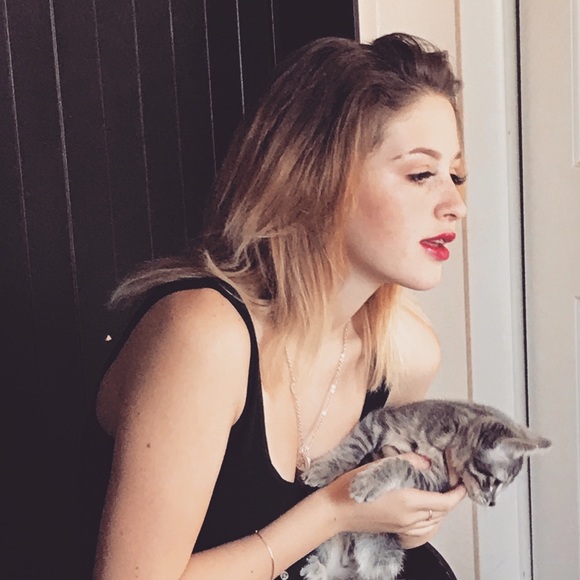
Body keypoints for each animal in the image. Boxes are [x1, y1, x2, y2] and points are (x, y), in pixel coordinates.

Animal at [300, 399, 551, 580]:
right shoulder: (380, 420)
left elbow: (402, 465)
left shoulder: (433, 483)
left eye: (501, 487)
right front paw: (325, 468)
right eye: (494, 482)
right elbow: (355, 445)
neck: (449, 438)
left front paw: (369, 481)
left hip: (384, 560)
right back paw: (317, 569)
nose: (492, 503)